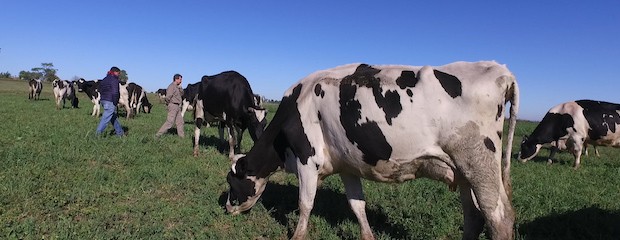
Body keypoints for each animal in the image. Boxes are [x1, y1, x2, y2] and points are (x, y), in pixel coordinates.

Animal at [225, 62, 520, 240]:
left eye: (231, 181)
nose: (227, 207)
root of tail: (500, 70)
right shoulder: (346, 165)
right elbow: (357, 205)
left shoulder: (308, 160)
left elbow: (305, 203)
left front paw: (298, 235)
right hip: (463, 171)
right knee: (474, 216)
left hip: (479, 165)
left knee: (498, 218)